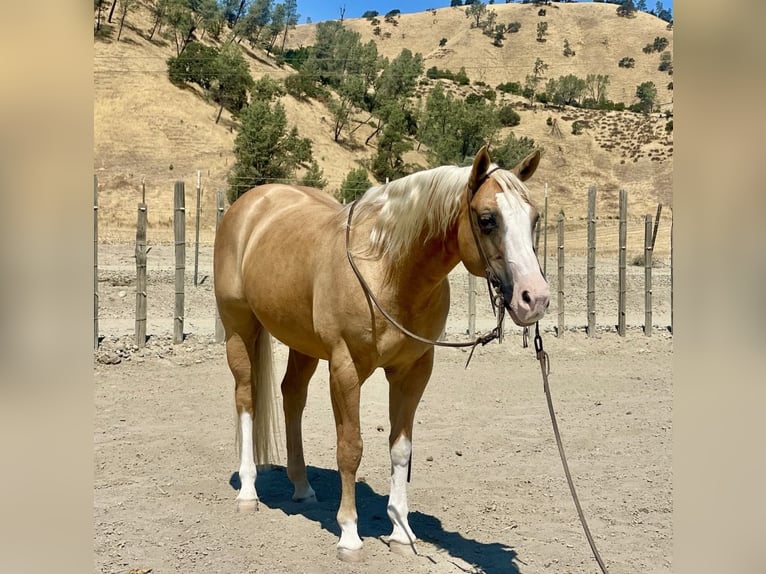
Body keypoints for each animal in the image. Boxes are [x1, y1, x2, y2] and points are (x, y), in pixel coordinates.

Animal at [213, 146, 550, 562]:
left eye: (534, 218)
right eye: (488, 220)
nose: (535, 298)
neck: (388, 269)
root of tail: (250, 203)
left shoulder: (413, 370)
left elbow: (401, 449)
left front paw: (401, 532)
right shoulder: (345, 368)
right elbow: (350, 448)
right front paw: (349, 535)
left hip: (302, 343)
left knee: (292, 396)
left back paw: (302, 487)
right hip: (239, 328)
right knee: (246, 397)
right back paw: (248, 491)